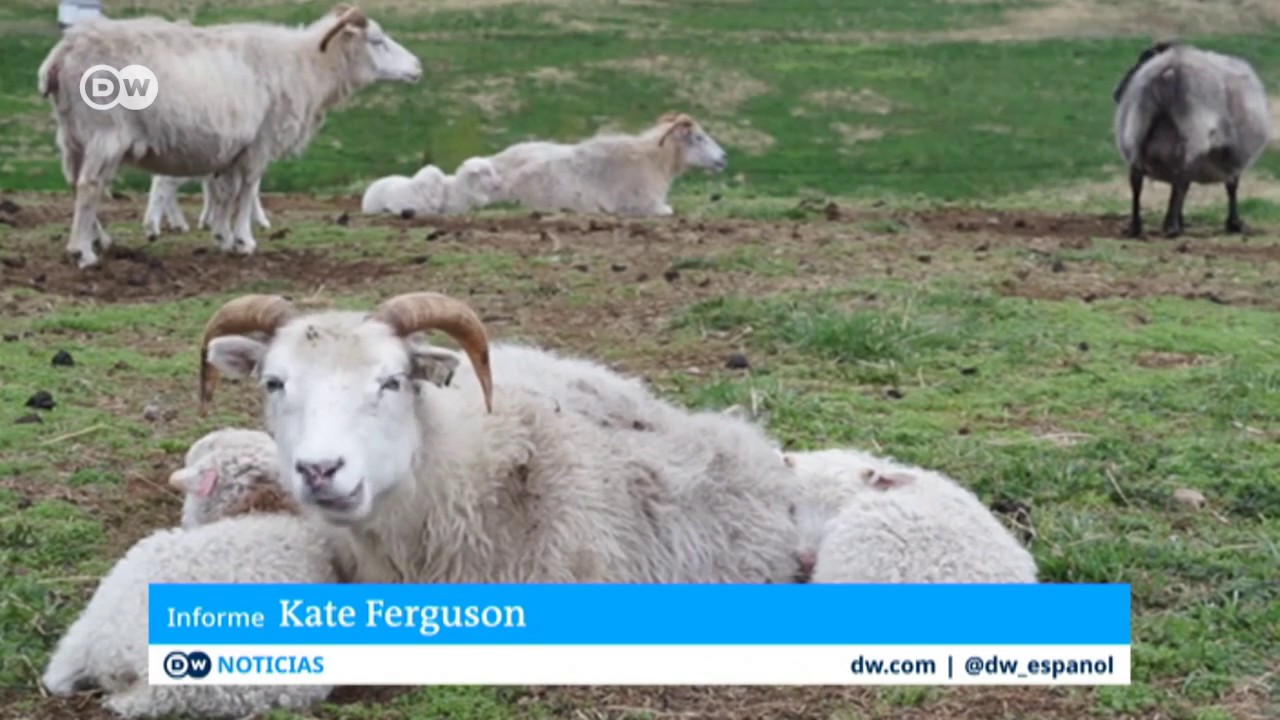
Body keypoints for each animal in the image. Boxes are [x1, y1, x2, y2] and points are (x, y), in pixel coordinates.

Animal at [37, 4, 422, 268]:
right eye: (377, 41)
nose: (418, 67)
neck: (307, 66)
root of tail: (62, 54)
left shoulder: (232, 146)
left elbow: (224, 191)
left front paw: (221, 236)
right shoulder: (260, 141)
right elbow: (247, 189)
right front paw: (243, 240)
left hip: (73, 134)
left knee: (77, 183)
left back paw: (101, 240)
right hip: (105, 132)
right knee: (89, 186)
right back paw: (82, 252)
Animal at [1113, 41, 1272, 238]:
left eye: (1142, 60)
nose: (1116, 93)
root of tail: (1170, 69)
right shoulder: (1233, 155)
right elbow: (1232, 186)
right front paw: (1234, 223)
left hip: (1137, 127)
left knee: (1137, 178)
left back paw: (1136, 227)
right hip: (1193, 131)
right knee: (1180, 178)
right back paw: (1172, 227)